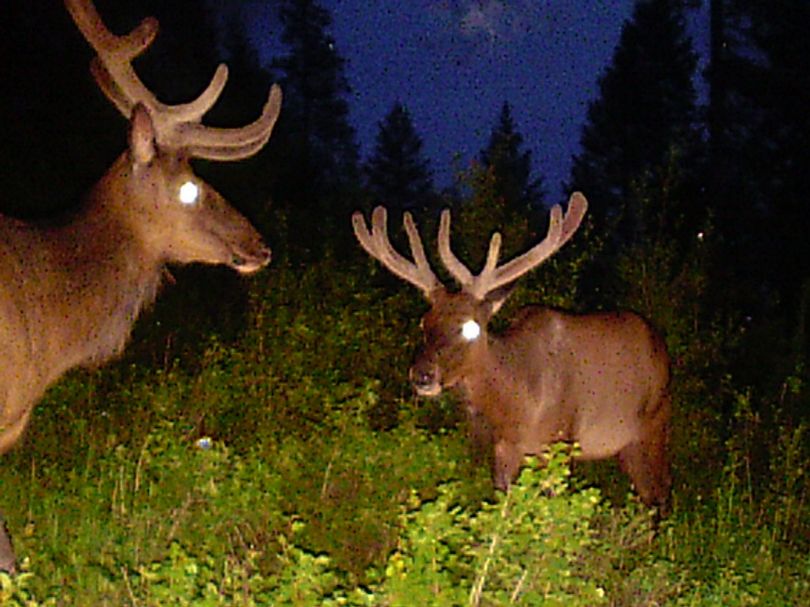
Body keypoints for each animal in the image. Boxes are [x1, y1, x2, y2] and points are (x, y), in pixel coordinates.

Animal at [350, 194, 672, 512]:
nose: (422, 375)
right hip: (625, 446)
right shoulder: (504, 447)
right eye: (424, 322)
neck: (518, 404)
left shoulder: (560, 442)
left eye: (471, 327)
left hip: (653, 425)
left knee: (659, 496)